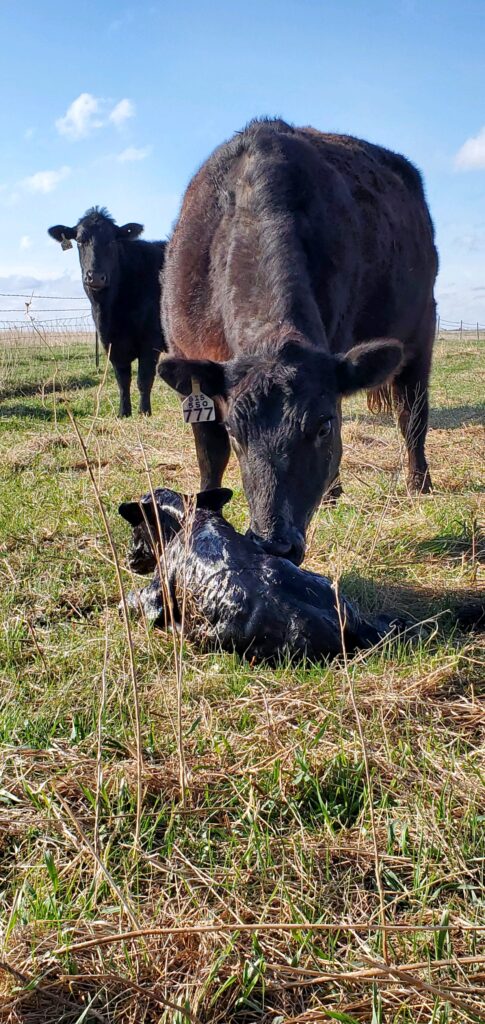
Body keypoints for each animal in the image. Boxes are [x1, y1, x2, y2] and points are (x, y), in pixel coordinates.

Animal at [48, 207, 166, 417]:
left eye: (112, 240)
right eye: (80, 241)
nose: (95, 276)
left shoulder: (151, 340)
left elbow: (144, 379)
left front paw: (145, 412)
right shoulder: (110, 341)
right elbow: (122, 380)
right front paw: (123, 413)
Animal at [119, 486, 407, 662]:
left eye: (135, 527)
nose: (129, 559)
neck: (188, 519)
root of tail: (345, 625)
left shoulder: (155, 594)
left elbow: (128, 602)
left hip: (207, 636)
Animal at [158, 118, 438, 564]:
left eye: (324, 426)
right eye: (235, 429)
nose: (275, 542)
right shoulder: (191, 364)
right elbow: (210, 455)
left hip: (421, 327)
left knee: (412, 412)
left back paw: (417, 482)